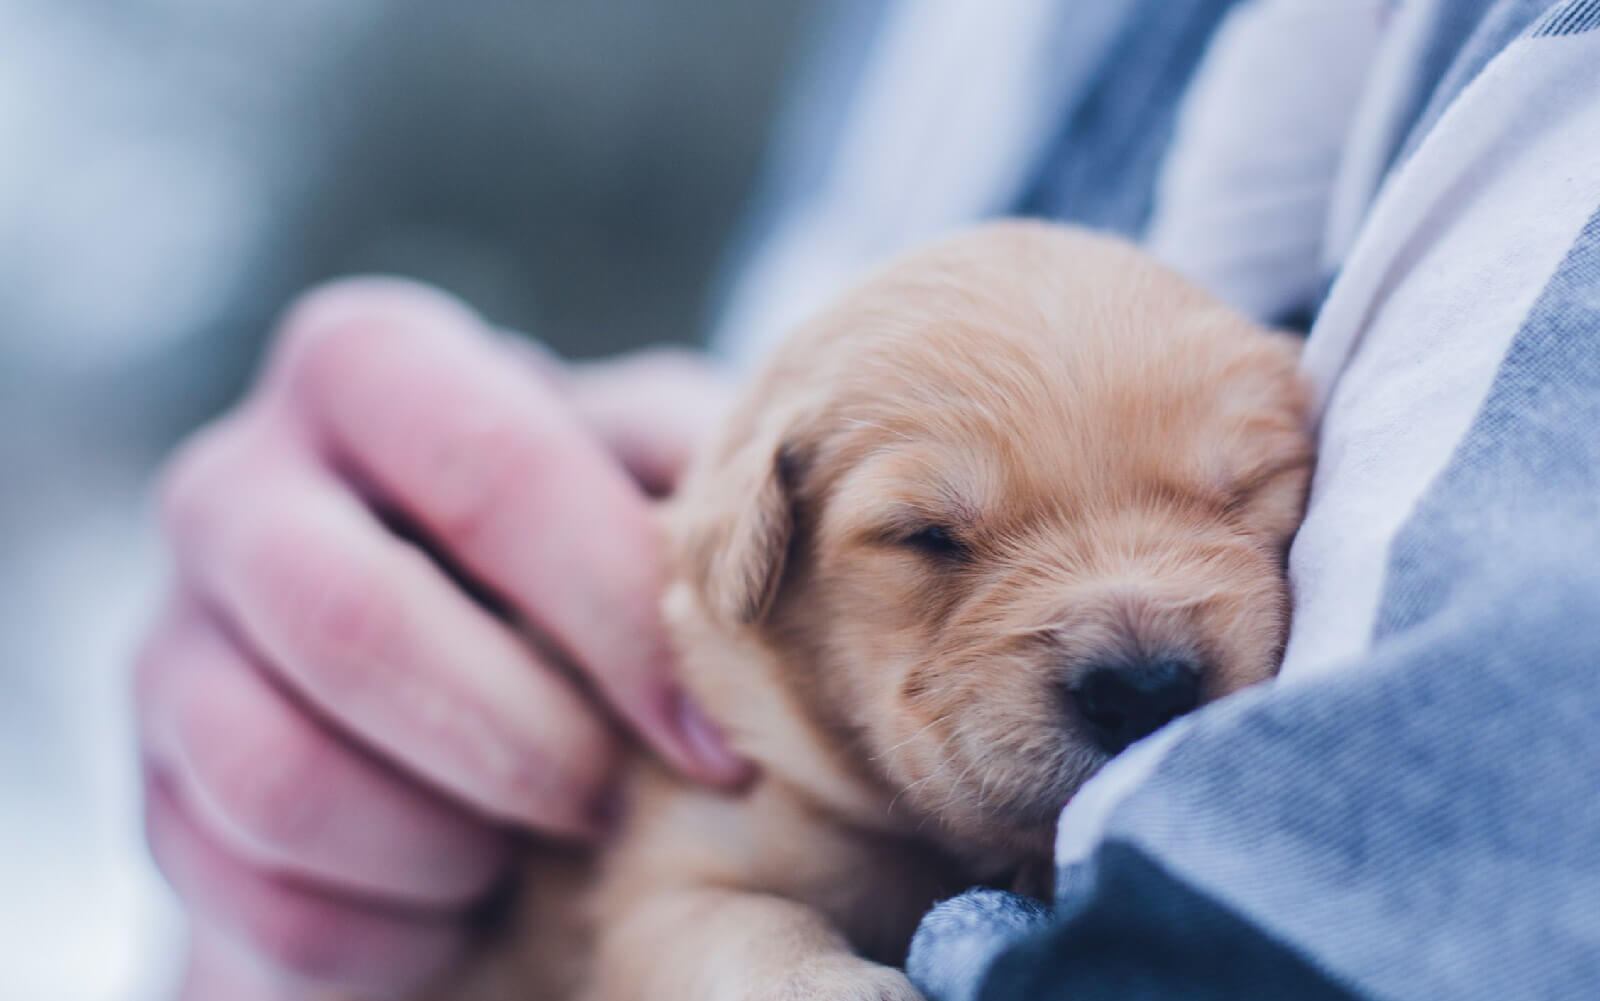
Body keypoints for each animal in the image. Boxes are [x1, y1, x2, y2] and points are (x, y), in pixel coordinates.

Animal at [428, 220, 1312, 997]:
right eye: (926, 535)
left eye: (1244, 490)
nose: (1142, 690)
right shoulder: (669, 868)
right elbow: (740, 921)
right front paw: (827, 982)